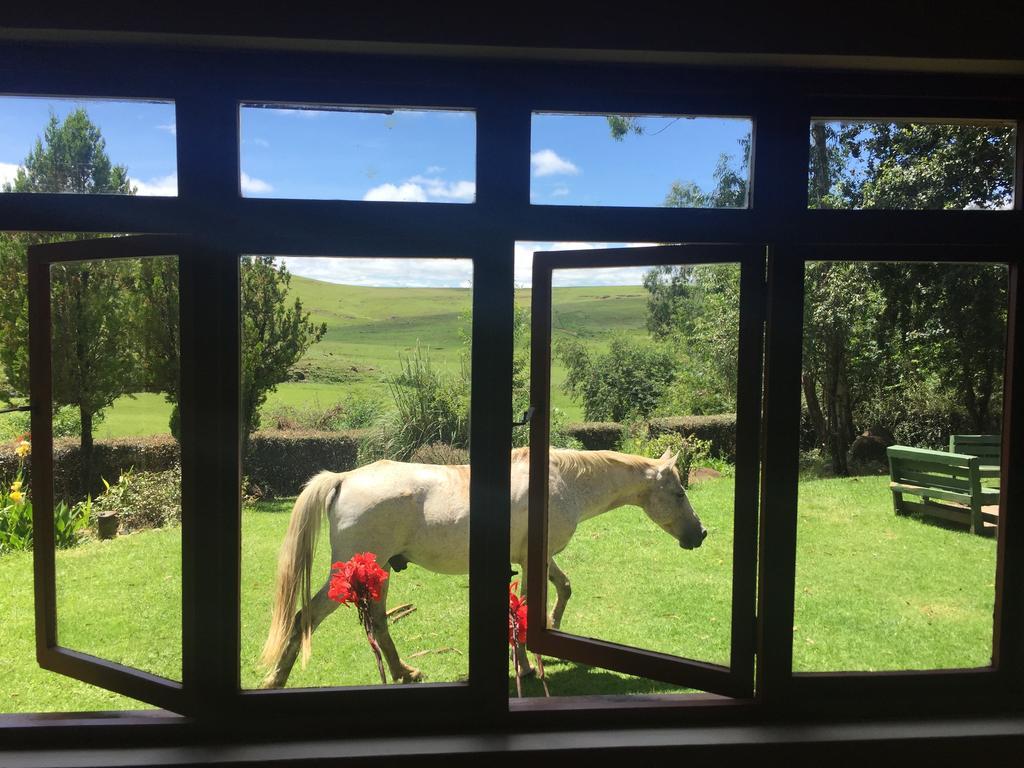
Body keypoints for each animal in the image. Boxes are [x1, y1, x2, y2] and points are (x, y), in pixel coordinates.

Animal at [258, 448, 704, 688]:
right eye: (679, 493)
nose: (700, 534)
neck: (563, 482)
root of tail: (344, 478)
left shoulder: (537, 558)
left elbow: (563, 588)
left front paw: (551, 630)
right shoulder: (533, 560)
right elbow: (530, 607)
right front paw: (526, 663)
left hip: (378, 571)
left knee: (379, 624)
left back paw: (405, 671)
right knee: (305, 616)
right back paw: (276, 680)